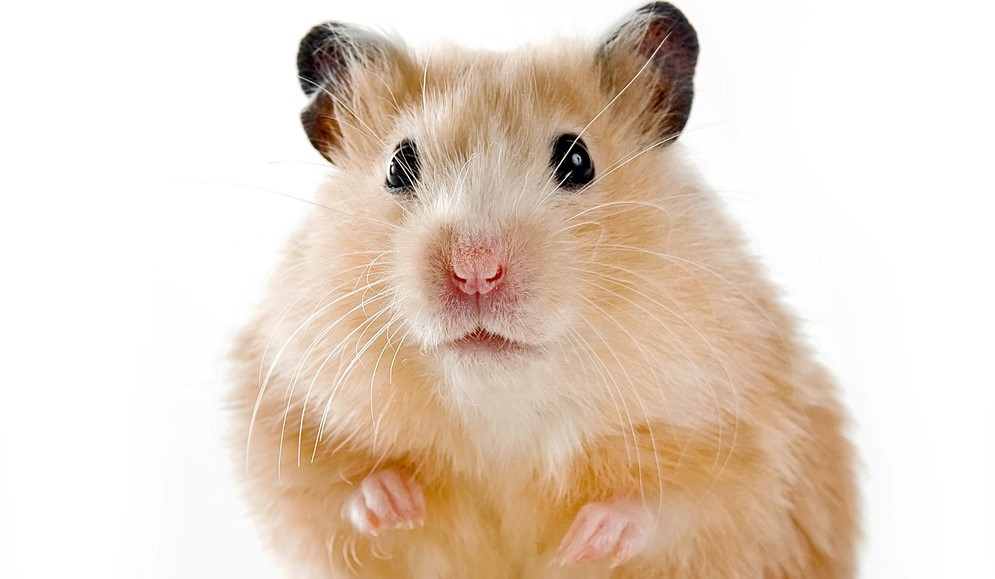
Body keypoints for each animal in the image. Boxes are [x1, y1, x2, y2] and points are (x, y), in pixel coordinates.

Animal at [228, 3, 859, 577]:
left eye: (578, 160)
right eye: (398, 166)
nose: (475, 270)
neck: (502, 402)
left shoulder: (748, 436)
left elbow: (679, 505)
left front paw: (587, 539)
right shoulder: (278, 409)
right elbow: (330, 487)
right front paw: (396, 503)